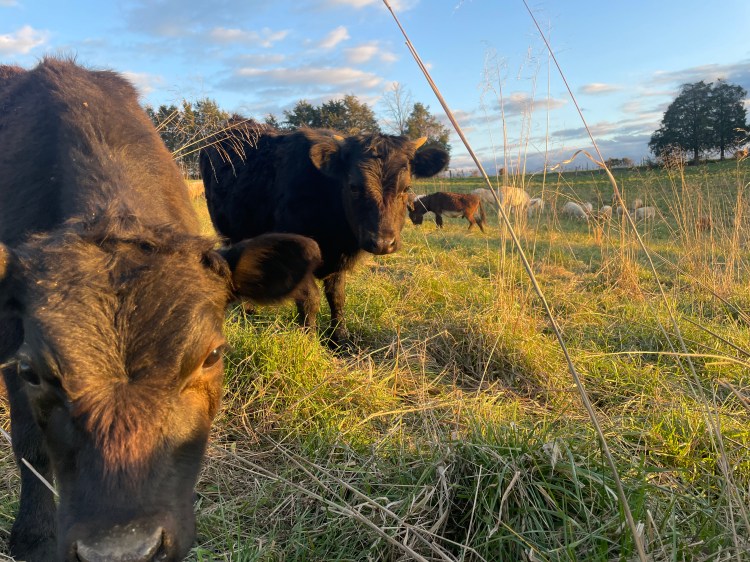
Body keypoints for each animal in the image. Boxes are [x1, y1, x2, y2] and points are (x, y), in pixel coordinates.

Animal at [200, 127, 449, 345]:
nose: (382, 243)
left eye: (406, 188)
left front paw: (340, 337)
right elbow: (310, 299)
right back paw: (248, 311)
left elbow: (337, 296)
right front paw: (309, 340)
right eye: (354, 186)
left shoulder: (339, 260)